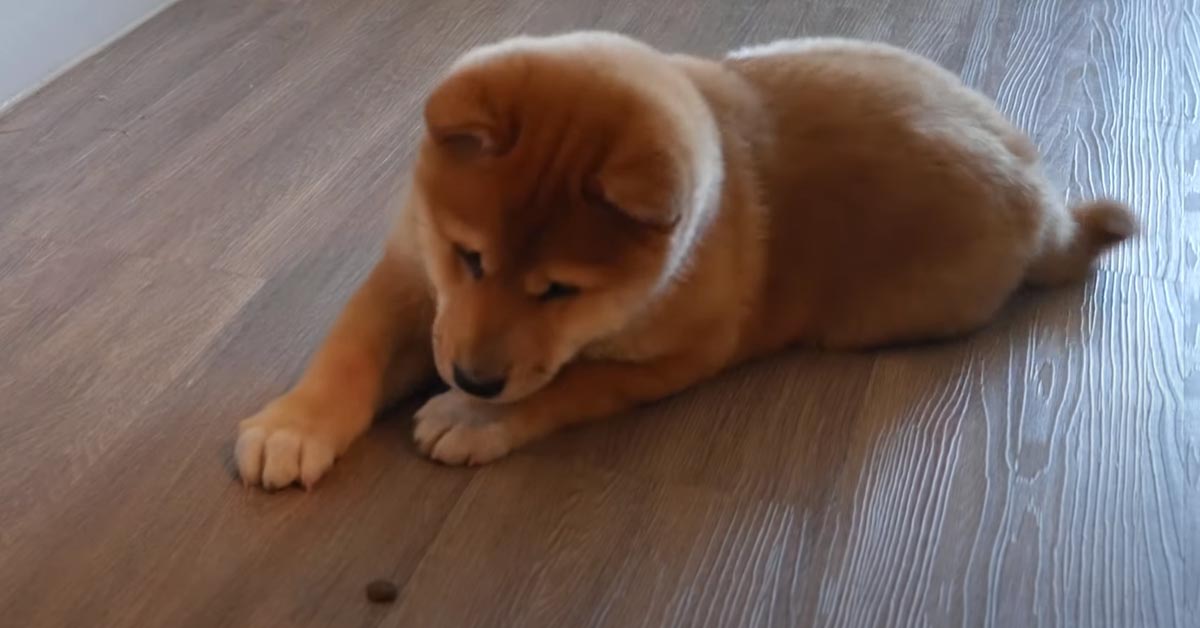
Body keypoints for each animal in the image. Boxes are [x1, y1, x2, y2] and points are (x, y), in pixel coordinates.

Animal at [234, 31, 1132, 489]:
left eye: (561, 291)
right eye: (469, 258)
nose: (475, 380)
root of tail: (1045, 202)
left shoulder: (680, 357)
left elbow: (569, 385)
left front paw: (475, 418)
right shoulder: (411, 273)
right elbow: (350, 349)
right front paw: (294, 425)